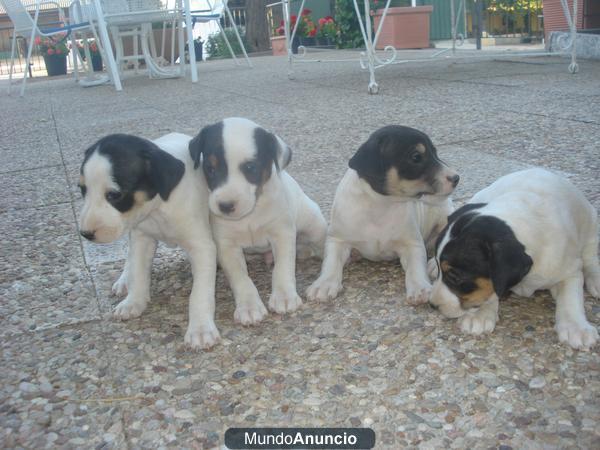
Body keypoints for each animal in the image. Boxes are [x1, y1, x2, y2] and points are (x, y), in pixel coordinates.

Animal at [77, 132, 218, 350]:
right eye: (82, 189)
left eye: (114, 195)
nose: (85, 234)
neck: (159, 207)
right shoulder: (141, 239)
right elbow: (138, 272)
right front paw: (133, 302)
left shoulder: (202, 247)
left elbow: (199, 293)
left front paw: (200, 329)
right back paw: (124, 280)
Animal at [189, 118, 326, 326]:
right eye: (210, 169)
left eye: (251, 168)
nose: (225, 206)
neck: (250, 215)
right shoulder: (227, 246)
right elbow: (240, 277)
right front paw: (249, 306)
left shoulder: (282, 233)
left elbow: (283, 267)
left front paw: (284, 296)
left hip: (313, 224)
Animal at [308, 125, 458, 304]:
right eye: (416, 157)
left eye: (435, 153)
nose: (456, 178)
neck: (381, 205)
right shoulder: (337, 239)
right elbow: (331, 262)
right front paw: (324, 284)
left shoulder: (412, 244)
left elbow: (415, 268)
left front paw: (420, 287)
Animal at [432, 167, 600, 350]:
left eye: (455, 276)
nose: (432, 305)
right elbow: (492, 288)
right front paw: (482, 313)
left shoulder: (569, 270)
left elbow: (570, 297)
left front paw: (575, 327)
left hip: (591, 225)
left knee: (590, 256)